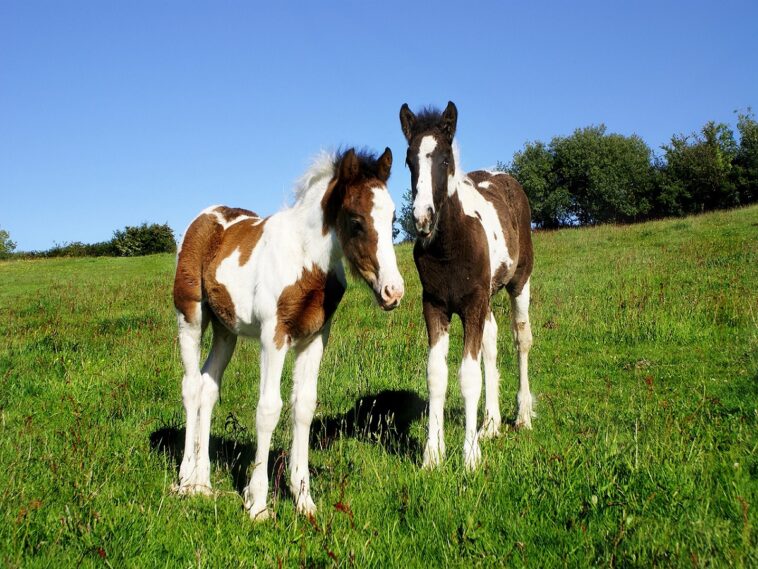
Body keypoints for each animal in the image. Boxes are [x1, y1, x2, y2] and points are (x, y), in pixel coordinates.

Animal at [175, 148, 406, 520]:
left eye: (394, 217)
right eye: (356, 221)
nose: (393, 292)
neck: (306, 259)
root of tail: (205, 216)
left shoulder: (315, 338)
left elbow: (303, 407)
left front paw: (304, 500)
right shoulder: (274, 335)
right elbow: (268, 409)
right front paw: (257, 503)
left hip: (226, 330)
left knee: (209, 386)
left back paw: (203, 482)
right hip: (190, 316)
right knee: (192, 387)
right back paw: (184, 479)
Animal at [400, 102, 536, 470]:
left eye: (445, 159)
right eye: (409, 161)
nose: (422, 218)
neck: (450, 245)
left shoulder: (473, 304)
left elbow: (468, 376)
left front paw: (470, 456)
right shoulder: (435, 305)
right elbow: (436, 375)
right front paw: (432, 455)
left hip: (519, 282)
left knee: (521, 339)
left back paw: (522, 416)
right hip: (485, 300)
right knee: (491, 342)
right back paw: (490, 424)